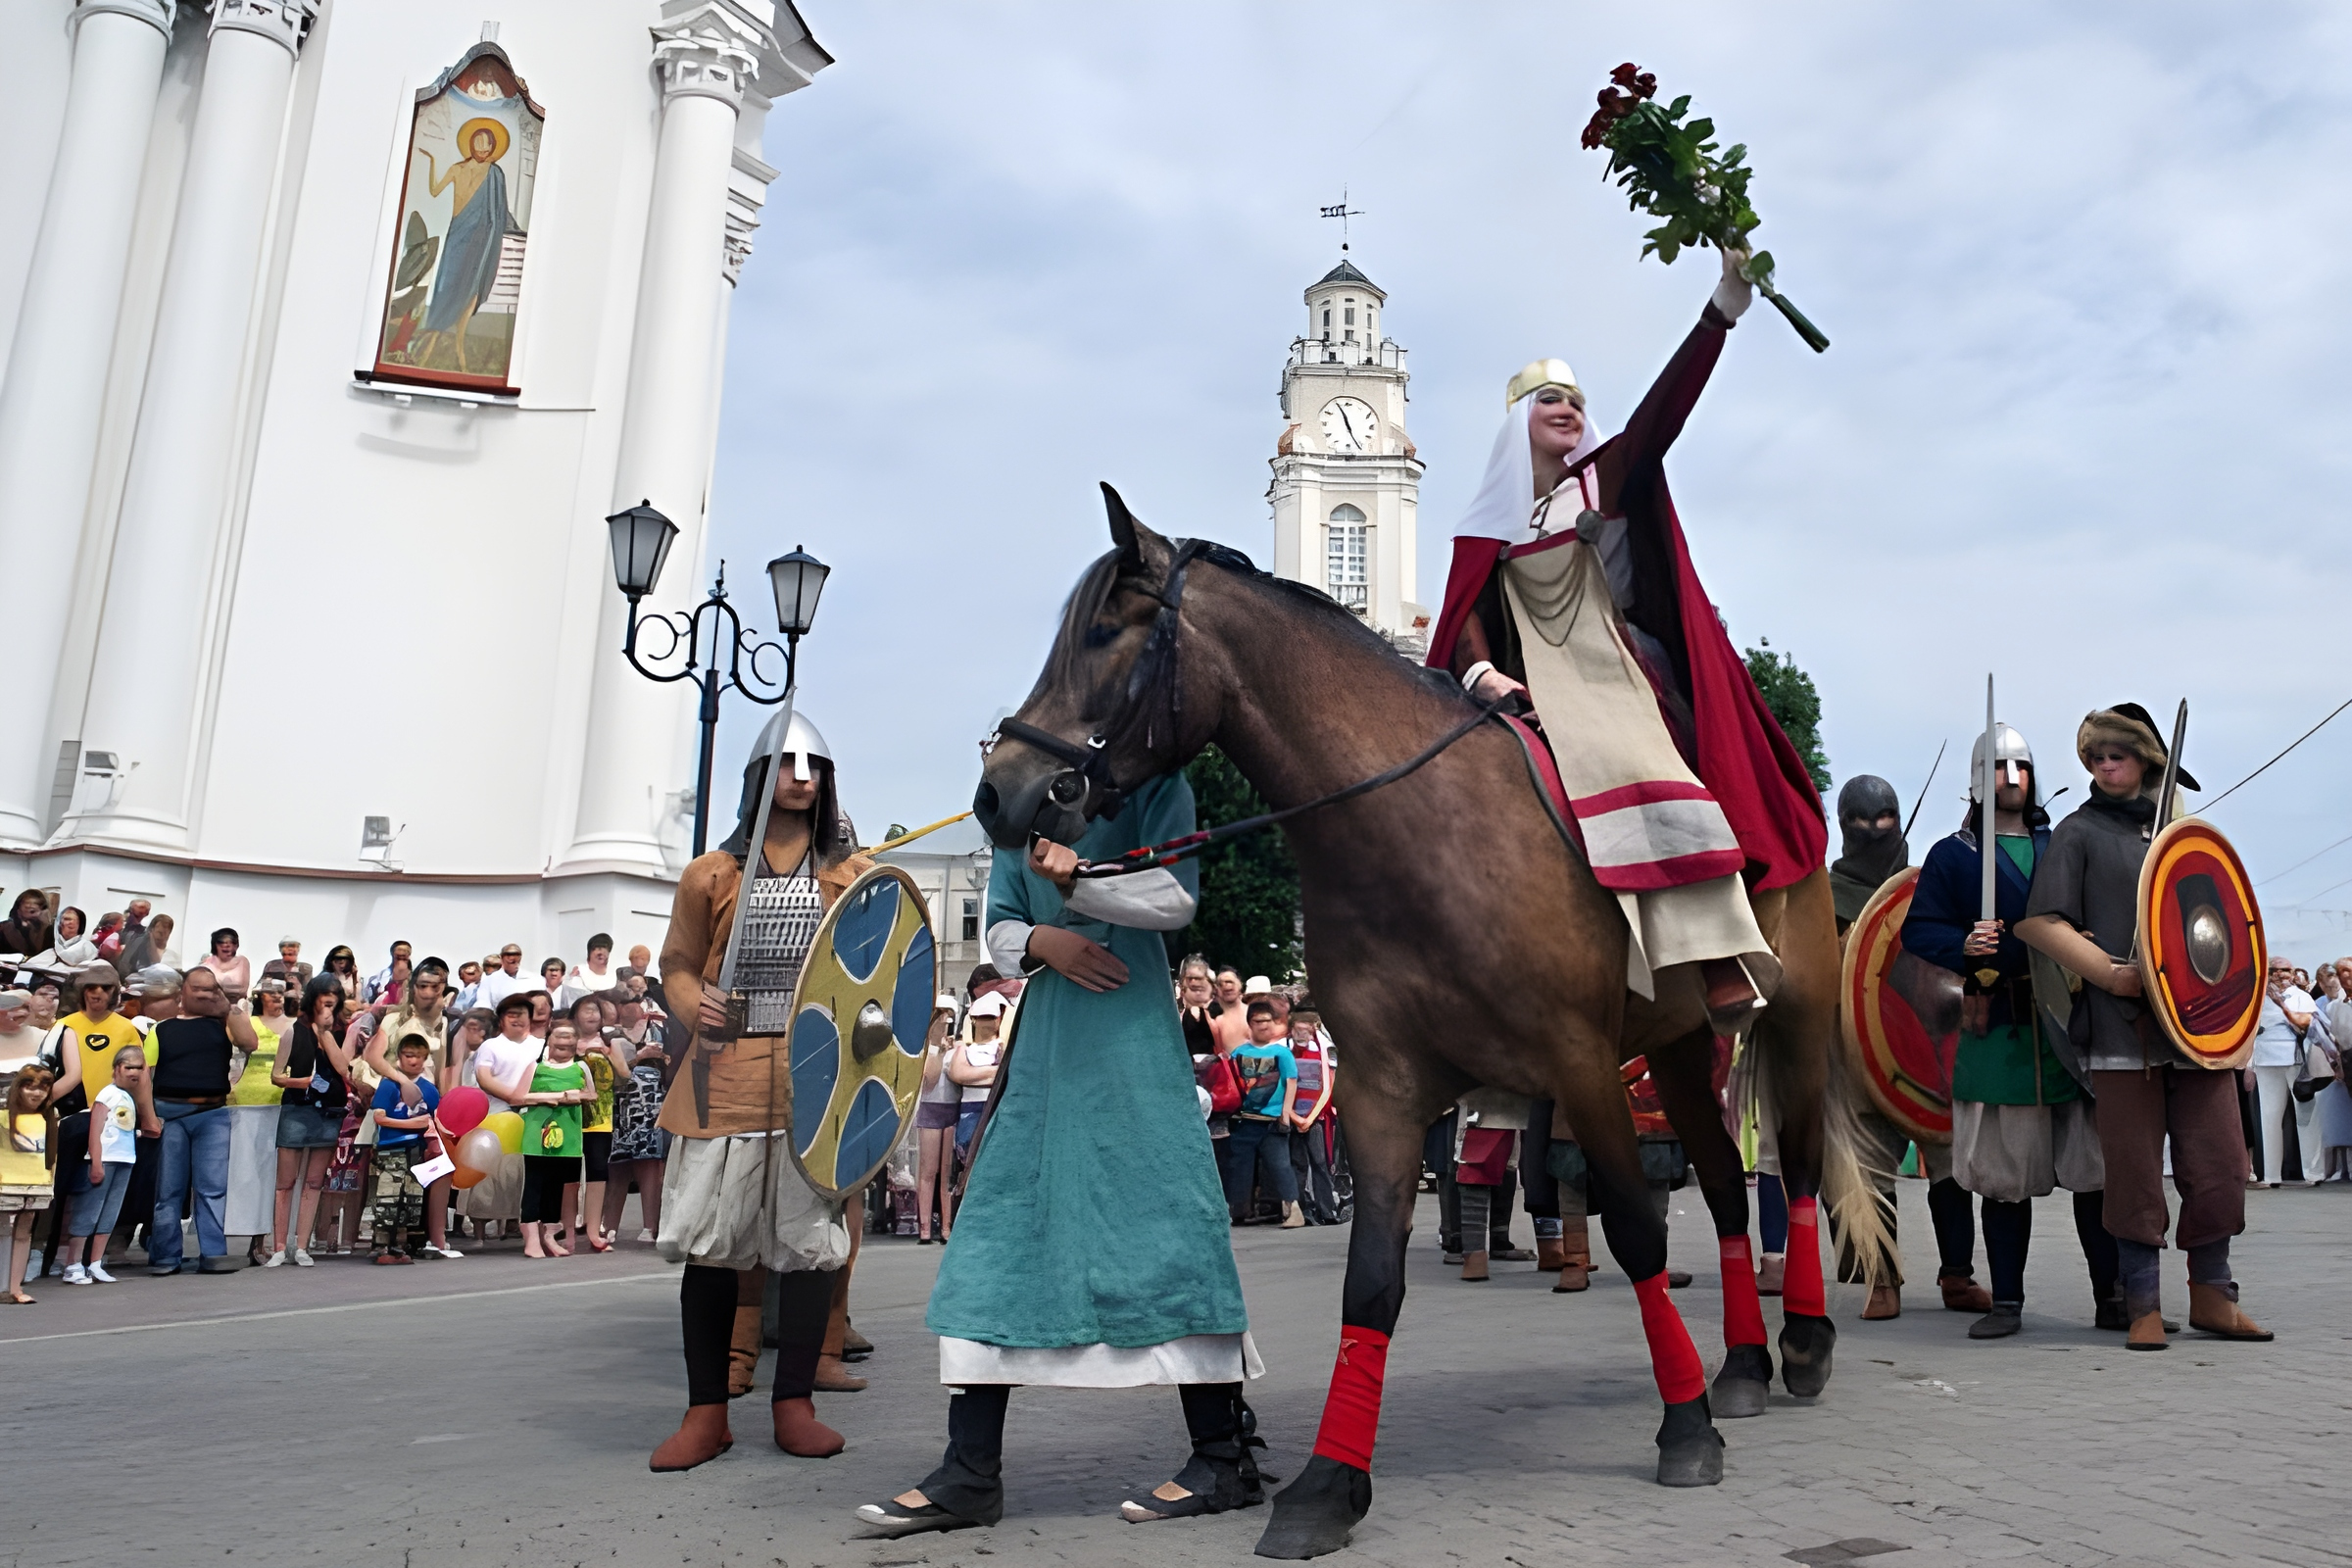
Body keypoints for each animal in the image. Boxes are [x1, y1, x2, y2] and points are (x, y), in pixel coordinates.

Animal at [978, 491, 1890, 1560]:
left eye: (1107, 632)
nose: (997, 791)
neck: (1422, 832)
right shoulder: (1384, 1091)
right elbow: (1371, 1279)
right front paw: (1329, 1486)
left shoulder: (1579, 1065)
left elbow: (1634, 1229)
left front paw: (1685, 1431)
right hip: (1674, 1045)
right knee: (1721, 1186)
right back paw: (1743, 1363)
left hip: (1791, 1016)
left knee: (1794, 1167)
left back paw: (1802, 1342)